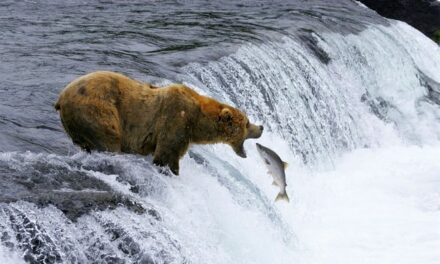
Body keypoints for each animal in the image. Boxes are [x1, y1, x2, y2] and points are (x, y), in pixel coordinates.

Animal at [54, 71, 262, 174]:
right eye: (246, 123)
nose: (261, 127)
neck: (198, 122)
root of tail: (61, 97)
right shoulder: (176, 119)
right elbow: (167, 153)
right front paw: (172, 170)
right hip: (96, 110)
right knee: (109, 140)